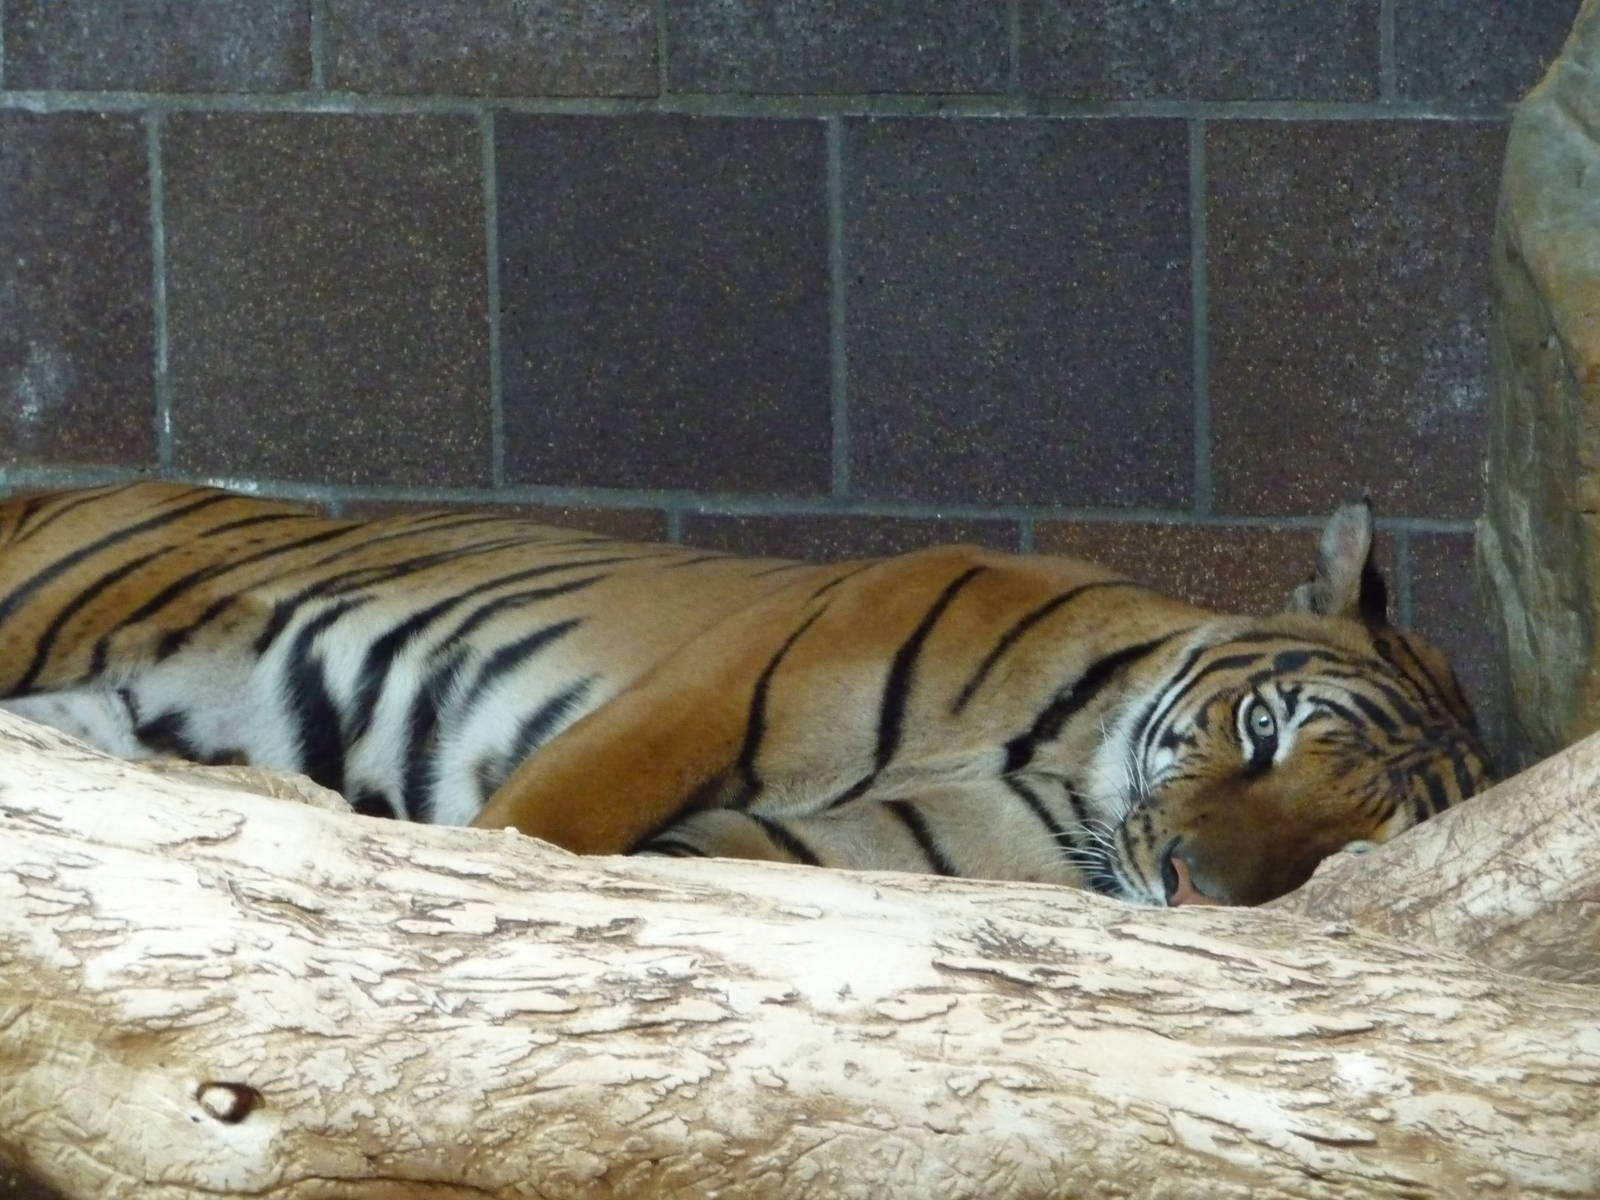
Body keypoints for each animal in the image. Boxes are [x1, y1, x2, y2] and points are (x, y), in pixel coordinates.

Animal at [0, 481, 1494, 906]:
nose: (1192, 887)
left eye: (1338, 852)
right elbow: (536, 829)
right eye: (1263, 728)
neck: (1061, 755)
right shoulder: (710, 694)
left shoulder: (797, 849)